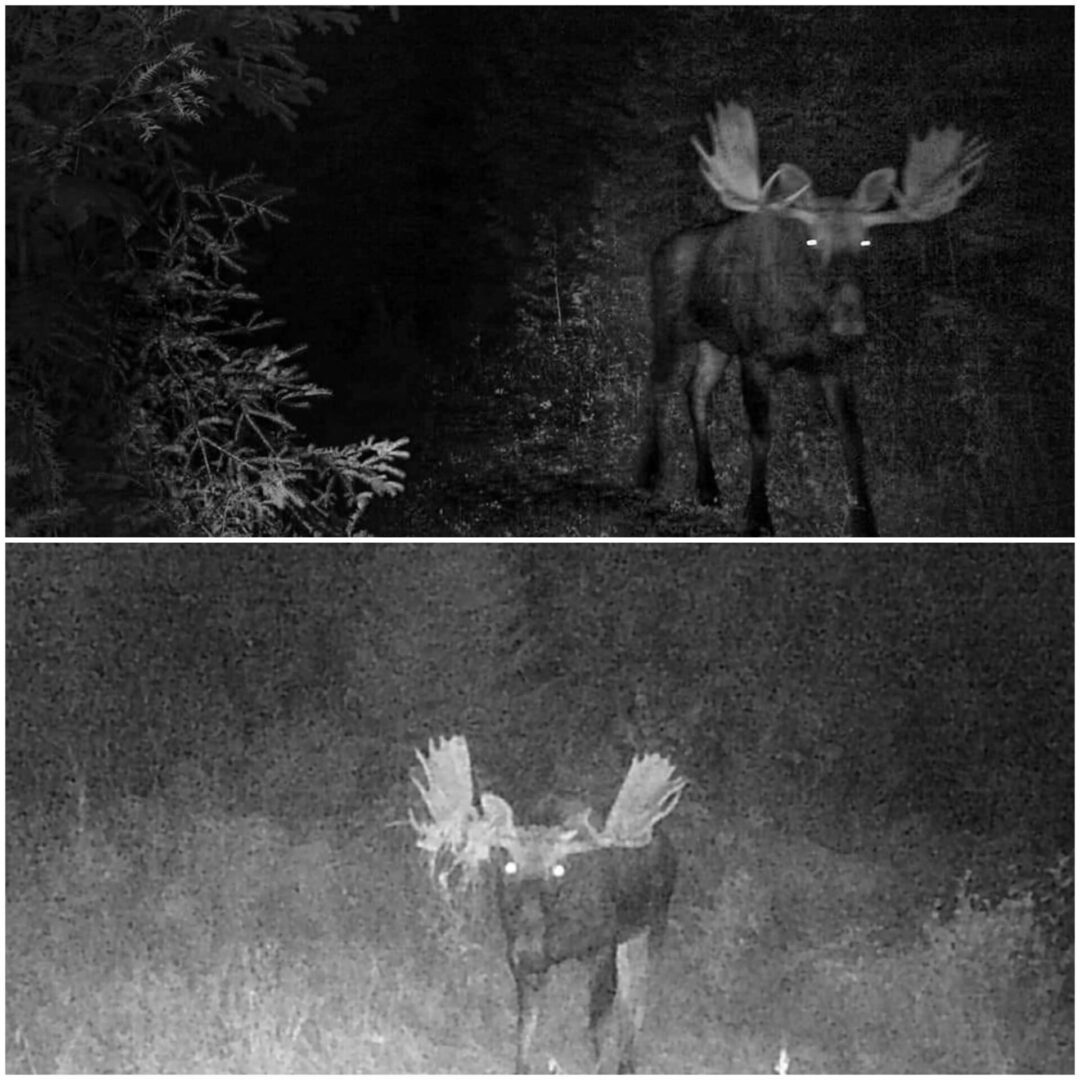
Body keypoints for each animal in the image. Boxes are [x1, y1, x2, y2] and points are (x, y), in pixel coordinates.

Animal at [408, 734, 686, 1071]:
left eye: (558, 869)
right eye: (507, 865)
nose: (531, 950)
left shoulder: (605, 945)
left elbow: (598, 1024)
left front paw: (603, 1066)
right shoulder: (516, 953)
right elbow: (526, 1024)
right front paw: (521, 1066)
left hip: (650, 926)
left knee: (637, 997)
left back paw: (628, 1061)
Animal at [635, 105, 989, 535]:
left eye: (865, 241)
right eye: (812, 240)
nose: (850, 322)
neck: (805, 319)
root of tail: (660, 250)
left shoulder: (833, 361)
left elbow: (852, 434)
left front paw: (863, 520)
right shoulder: (757, 355)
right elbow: (760, 433)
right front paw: (758, 516)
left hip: (716, 341)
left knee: (695, 389)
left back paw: (708, 488)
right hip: (667, 323)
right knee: (658, 383)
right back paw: (649, 473)